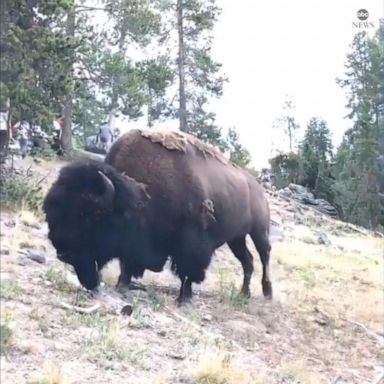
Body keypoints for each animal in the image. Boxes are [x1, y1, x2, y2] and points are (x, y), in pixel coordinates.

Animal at [44, 129, 272, 304]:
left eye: (89, 215)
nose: (62, 252)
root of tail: (258, 187)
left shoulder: (192, 243)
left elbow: (188, 271)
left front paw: (184, 298)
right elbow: (127, 263)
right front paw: (122, 285)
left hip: (259, 231)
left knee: (264, 255)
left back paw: (267, 292)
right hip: (236, 239)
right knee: (248, 261)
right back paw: (244, 294)